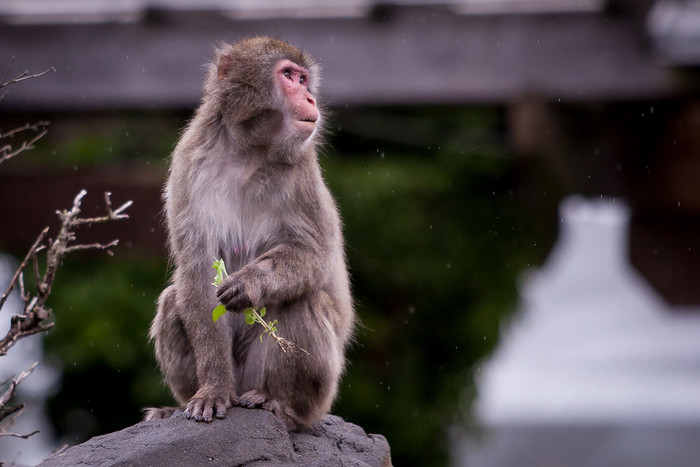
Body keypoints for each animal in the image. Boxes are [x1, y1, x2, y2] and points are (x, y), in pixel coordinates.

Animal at [146, 37, 356, 436]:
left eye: (304, 79)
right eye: (289, 75)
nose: (310, 98)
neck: (249, 151)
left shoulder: (302, 173)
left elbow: (316, 256)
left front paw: (251, 282)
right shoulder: (188, 163)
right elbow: (197, 273)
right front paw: (212, 390)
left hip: (318, 388)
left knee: (301, 300)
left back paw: (283, 408)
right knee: (172, 300)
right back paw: (176, 406)